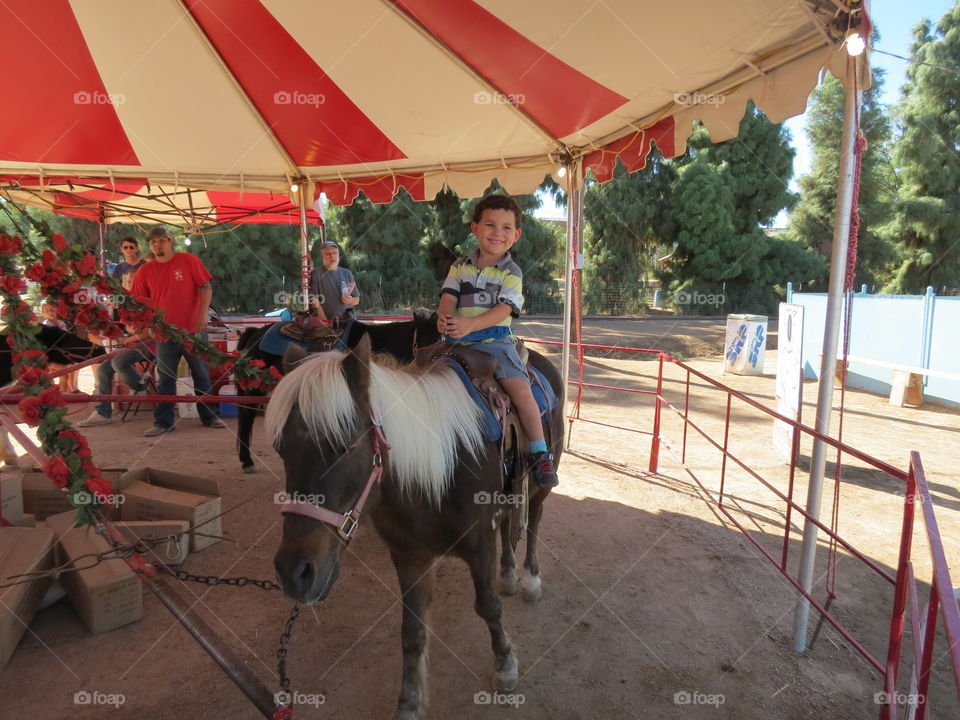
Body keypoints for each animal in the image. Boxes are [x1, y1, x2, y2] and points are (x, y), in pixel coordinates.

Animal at [270, 338, 564, 720]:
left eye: (344, 446)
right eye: (281, 450)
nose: (295, 574)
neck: (441, 468)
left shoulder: (479, 545)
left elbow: (489, 606)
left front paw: (505, 667)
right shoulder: (409, 557)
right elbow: (412, 631)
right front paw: (409, 704)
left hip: (540, 485)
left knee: (534, 523)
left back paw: (529, 579)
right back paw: (509, 574)